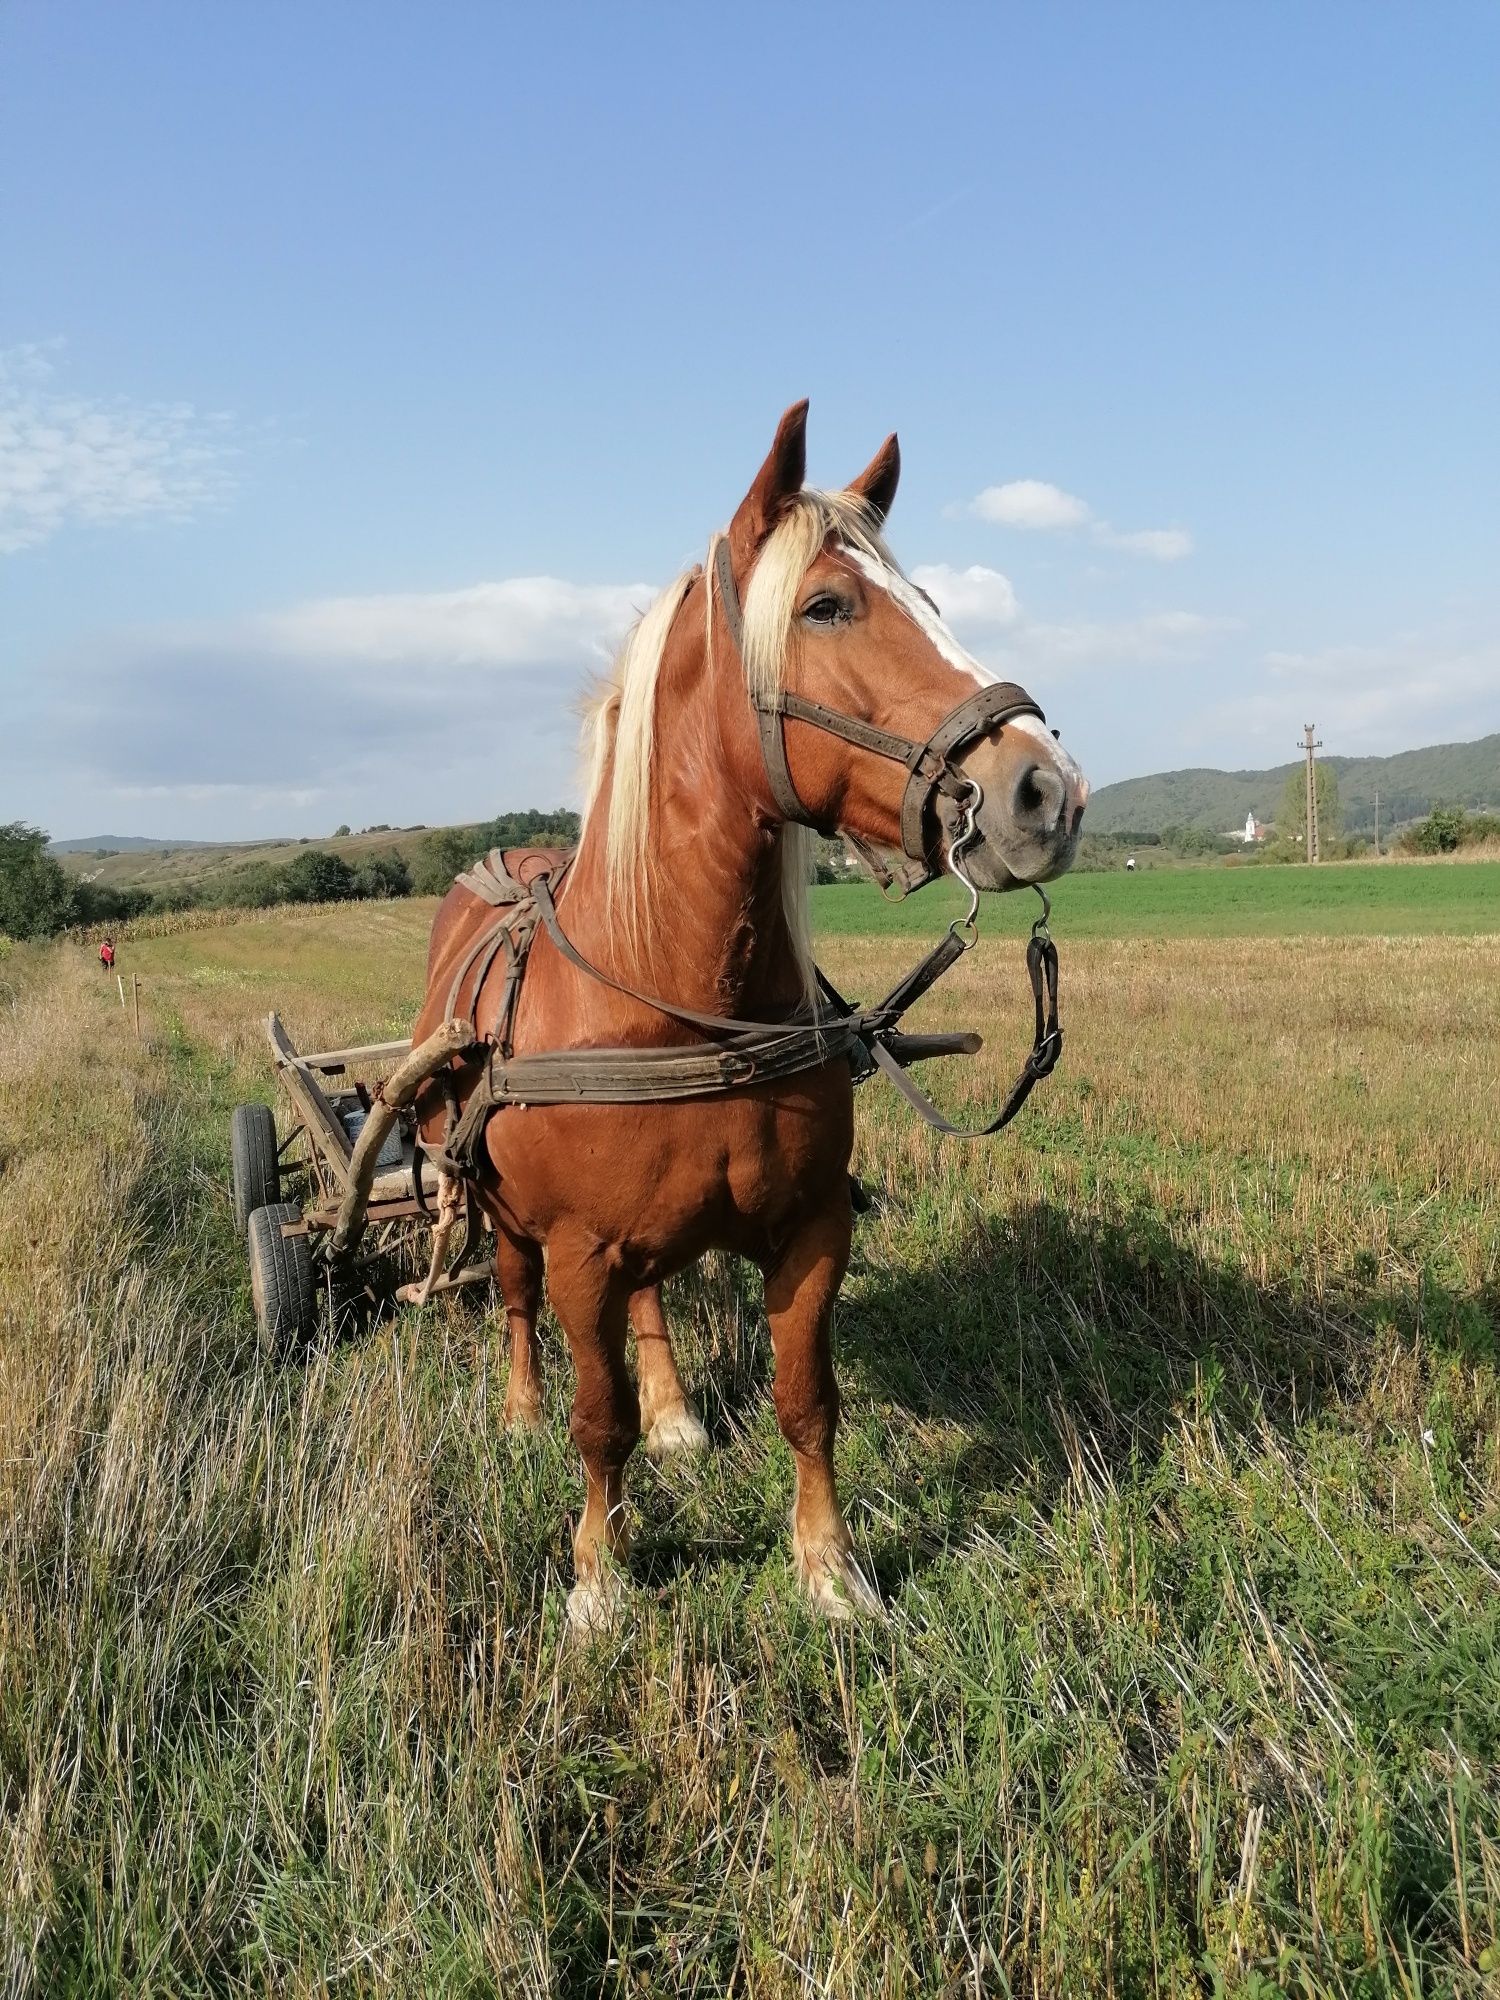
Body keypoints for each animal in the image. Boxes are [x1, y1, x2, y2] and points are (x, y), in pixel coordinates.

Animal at [418, 402, 1088, 1624]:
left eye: (931, 598)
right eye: (826, 605)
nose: (1045, 789)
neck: (682, 1010)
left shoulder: (813, 1226)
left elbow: (806, 1400)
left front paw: (830, 1567)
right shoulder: (579, 1248)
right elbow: (597, 1420)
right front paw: (598, 1577)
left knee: (650, 1307)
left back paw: (678, 1410)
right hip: (497, 1204)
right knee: (519, 1302)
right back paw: (522, 1410)